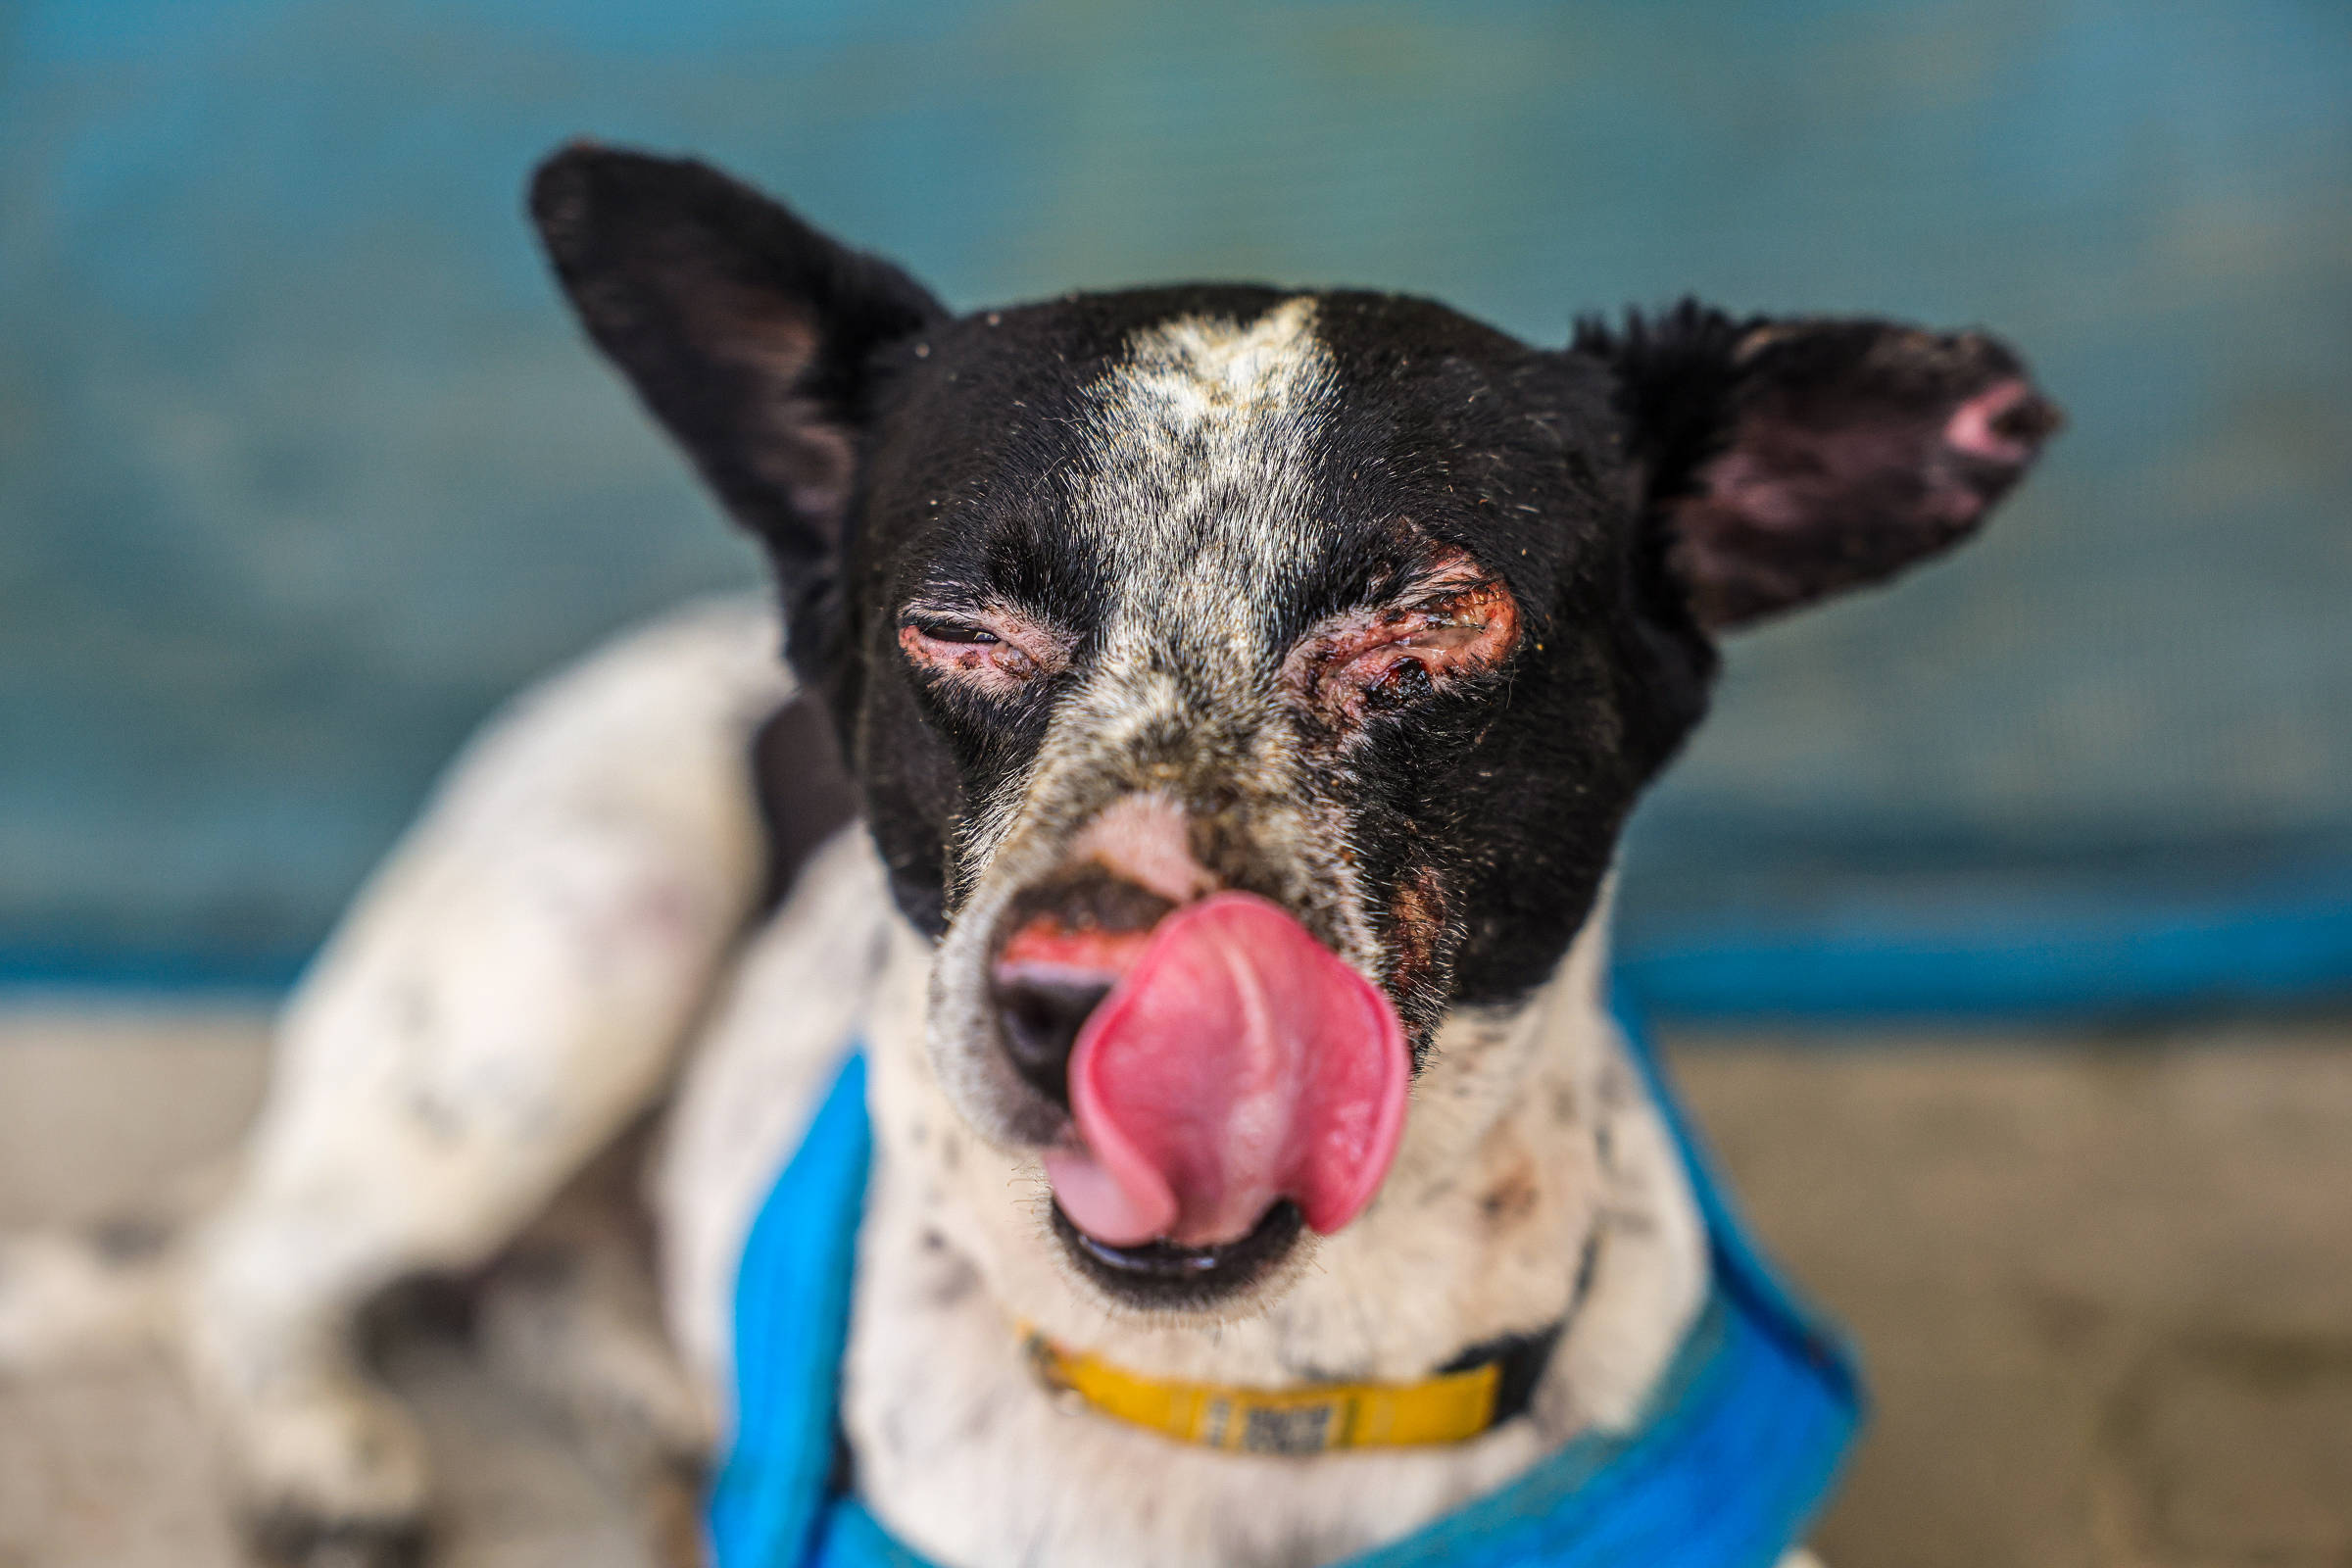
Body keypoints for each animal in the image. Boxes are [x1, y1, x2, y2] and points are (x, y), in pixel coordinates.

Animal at [0, 146, 2060, 1568]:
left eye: (1428, 625)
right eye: (954, 629)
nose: (1079, 1011)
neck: (1261, 1407)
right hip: (578, 952)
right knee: (249, 1266)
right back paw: (319, 1446)